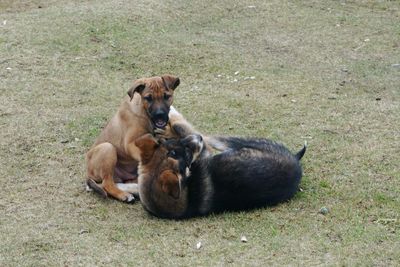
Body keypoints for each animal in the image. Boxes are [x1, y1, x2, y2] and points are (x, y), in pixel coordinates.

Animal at [86, 75, 195, 203]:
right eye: (148, 98)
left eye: (166, 96)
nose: (160, 114)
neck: (146, 114)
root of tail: (88, 173)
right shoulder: (130, 144)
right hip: (107, 148)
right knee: (106, 183)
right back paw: (124, 195)